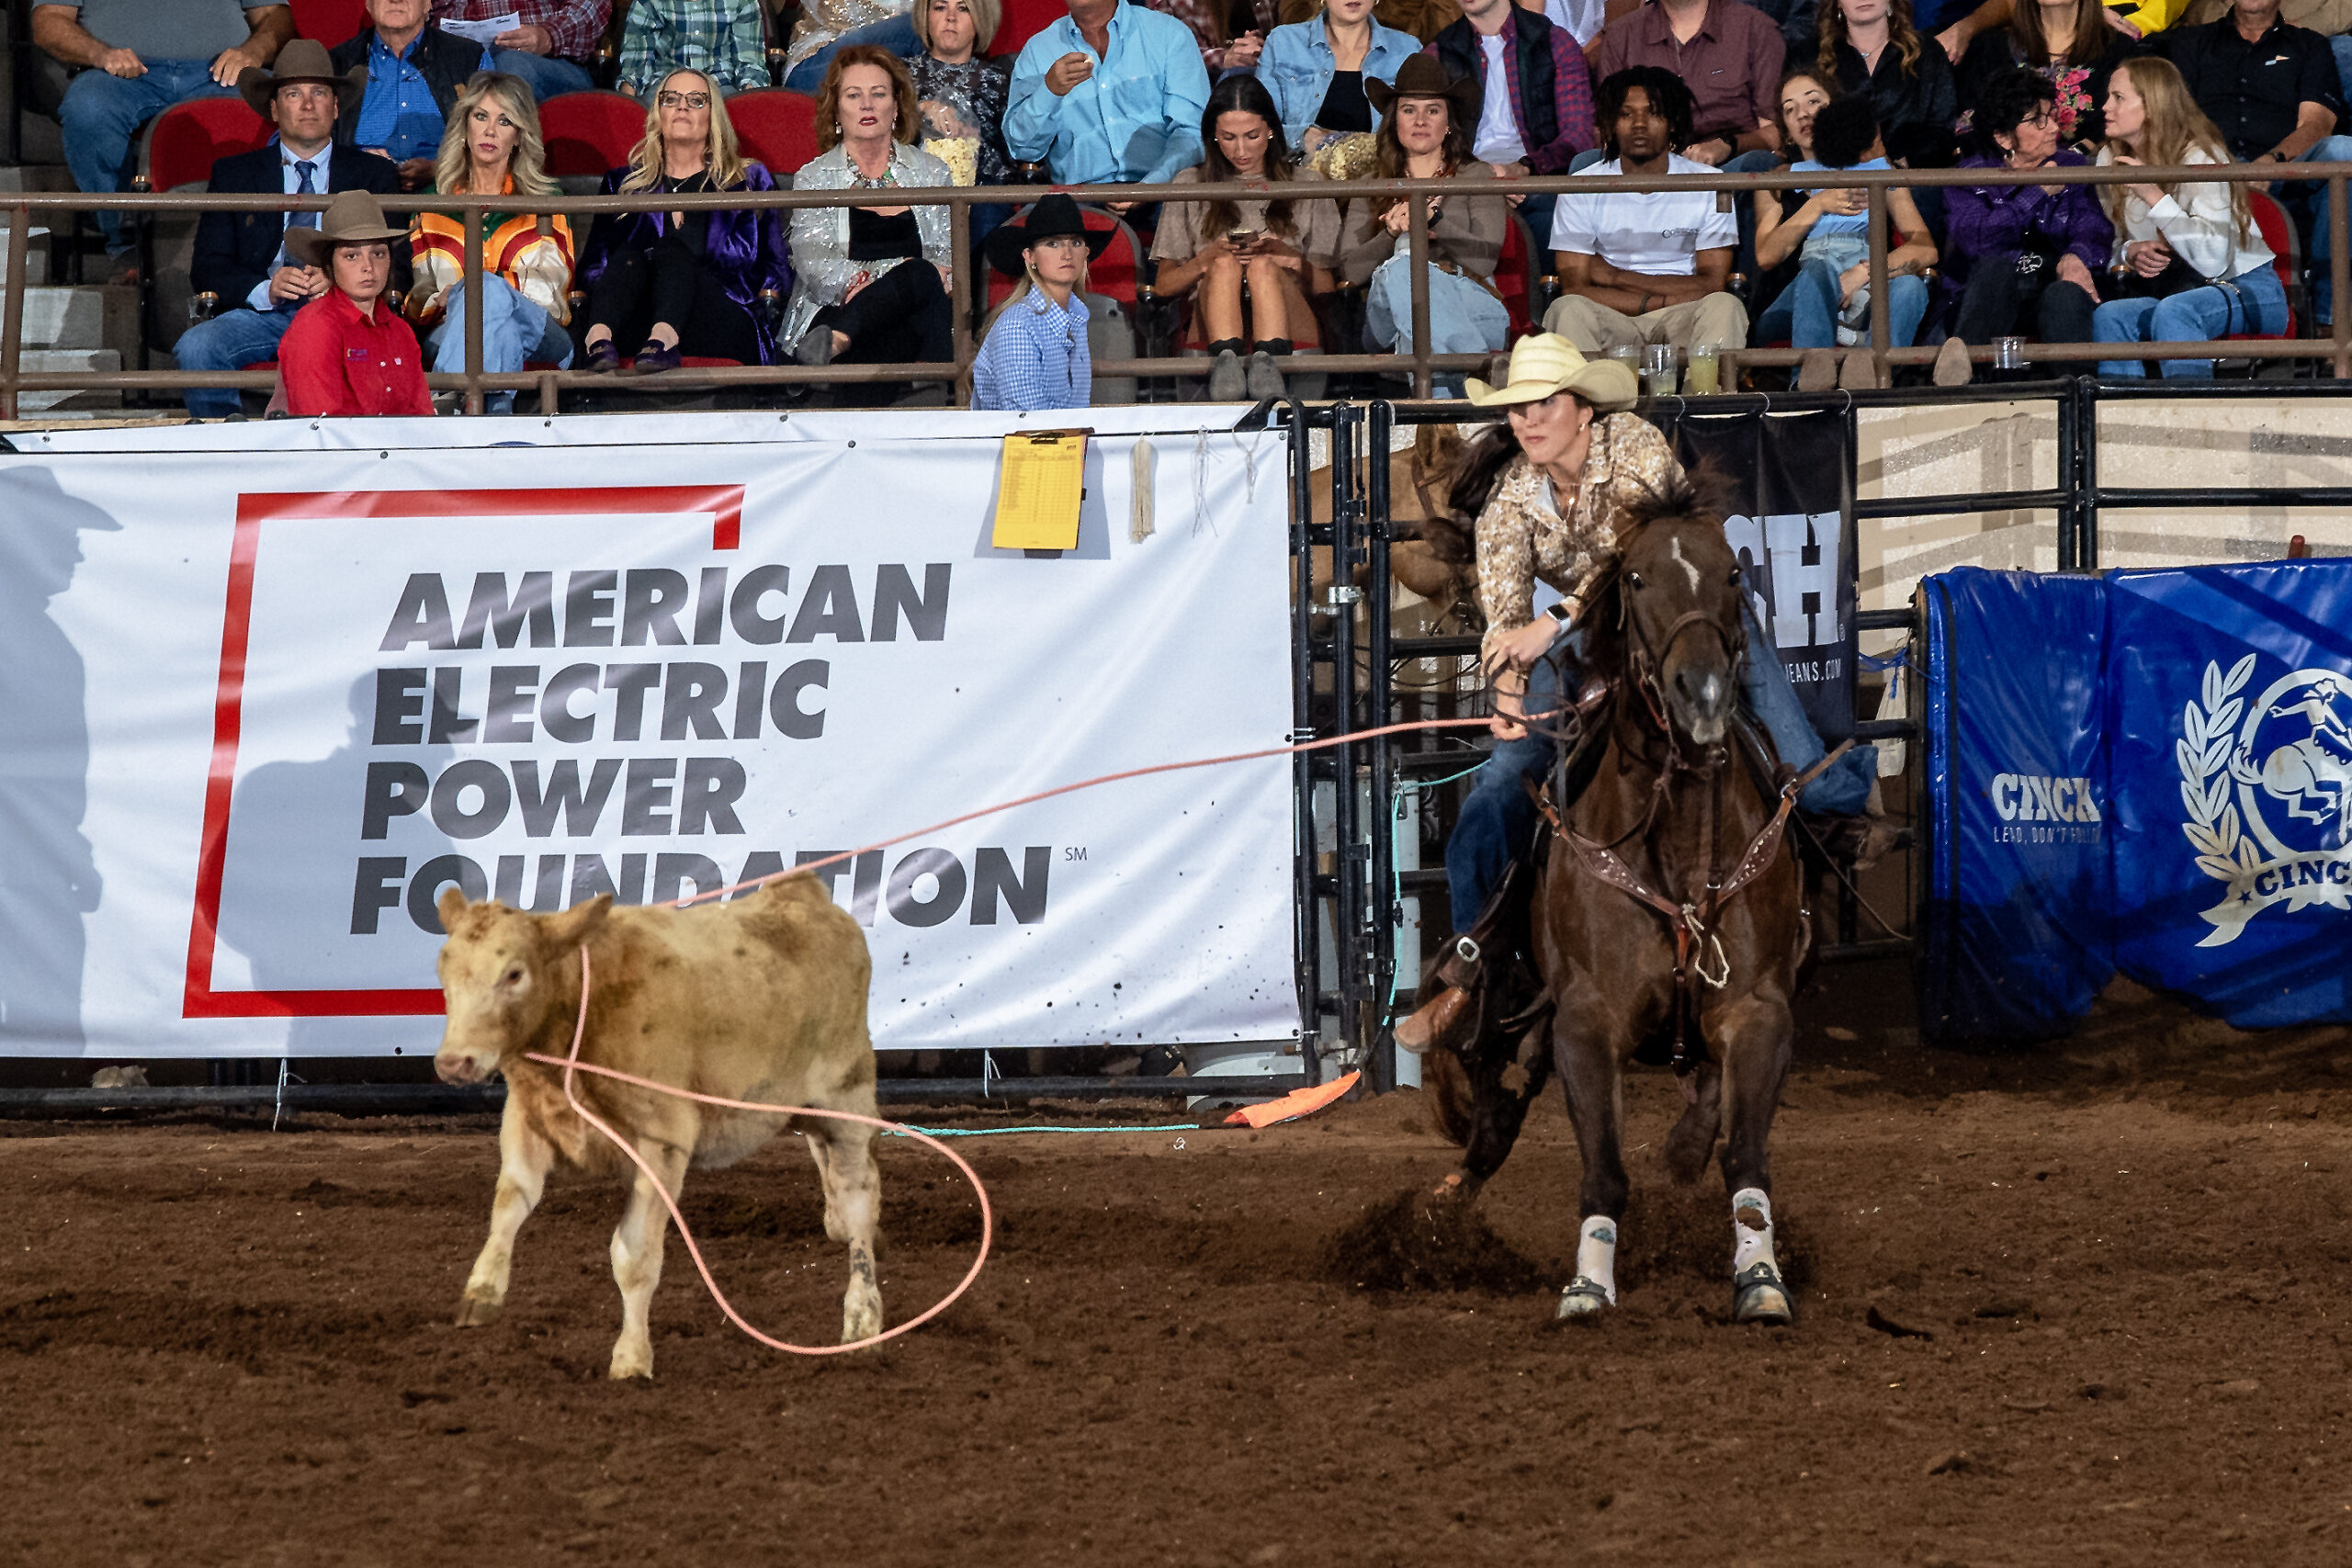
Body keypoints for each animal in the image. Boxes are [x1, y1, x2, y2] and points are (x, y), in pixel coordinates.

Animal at [427, 879, 879, 1382]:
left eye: (513, 974)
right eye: (444, 970)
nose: (455, 1062)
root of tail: (806, 895)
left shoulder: (663, 1143)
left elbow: (635, 1257)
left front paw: (631, 1355)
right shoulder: (527, 1123)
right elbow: (509, 1206)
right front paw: (481, 1292)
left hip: (848, 1097)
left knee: (858, 1194)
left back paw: (862, 1315)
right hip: (800, 1106)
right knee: (837, 1167)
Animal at [1420, 474, 1806, 1325]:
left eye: (1733, 571)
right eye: (1633, 578)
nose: (1702, 694)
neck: (1677, 843)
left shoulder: (1757, 1010)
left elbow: (1744, 1153)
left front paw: (1759, 1275)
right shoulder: (1587, 1021)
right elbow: (1603, 1167)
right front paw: (1588, 1285)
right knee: (1492, 1085)